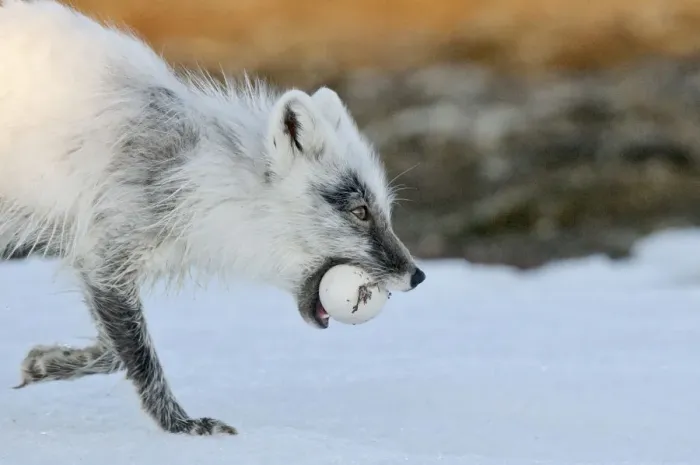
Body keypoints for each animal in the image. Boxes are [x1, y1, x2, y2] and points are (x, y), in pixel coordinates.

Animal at [0, 0, 426, 436]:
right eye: (359, 211)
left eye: (382, 210)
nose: (418, 276)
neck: (194, 169)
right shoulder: (106, 256)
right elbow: (137, 358)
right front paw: (182, 427)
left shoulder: (103, 262)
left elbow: (111, 353)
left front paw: (46, 363)